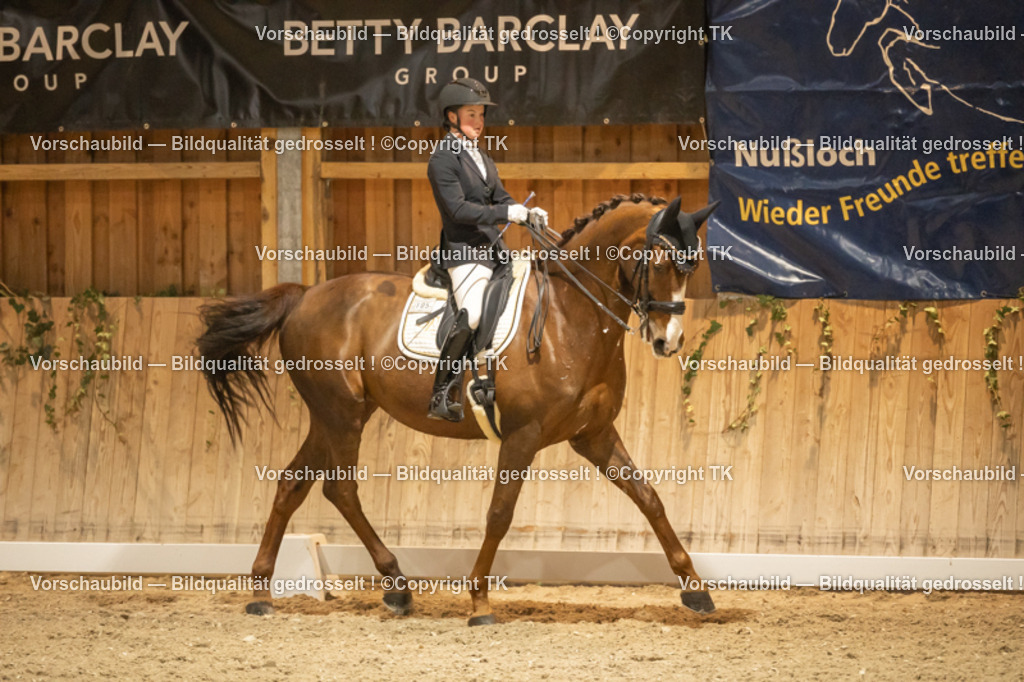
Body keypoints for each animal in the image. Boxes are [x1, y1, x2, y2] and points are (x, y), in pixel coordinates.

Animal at [197, 193, 718, 626]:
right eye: (662, 262)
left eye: (692, 266)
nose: (668, 342)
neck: (570, 316)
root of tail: (305, 295)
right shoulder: (523, 435)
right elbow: (499, 514)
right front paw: (480, 602)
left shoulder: (594, 434)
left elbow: (649, 498)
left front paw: (695, 590)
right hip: (341, 414)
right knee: (339, 489)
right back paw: (395, 586)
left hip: (340, 415)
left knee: (293, 484)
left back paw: (264, 592)